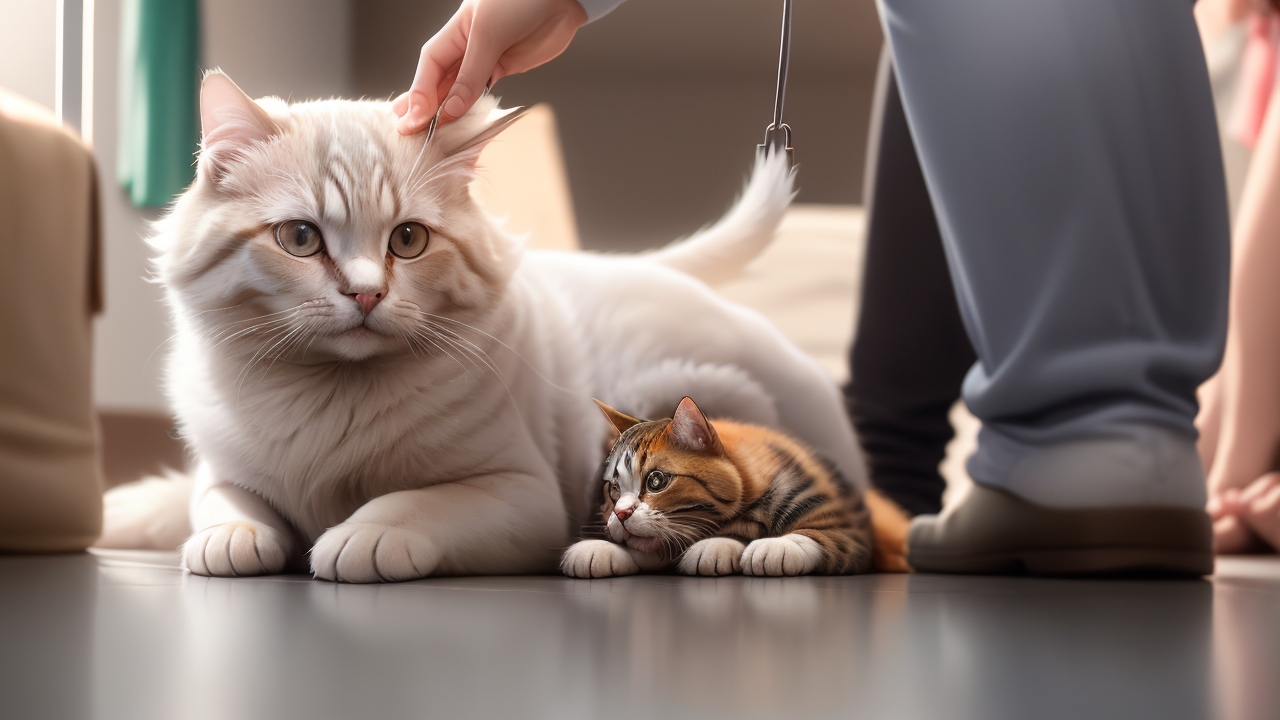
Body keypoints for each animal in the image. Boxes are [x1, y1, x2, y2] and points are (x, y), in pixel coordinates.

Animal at [563, 394, 875, 573]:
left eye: (656, 481)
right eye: (614, 488)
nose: (620, 514)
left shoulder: (853, 535)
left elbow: (817, 535)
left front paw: (772, 547)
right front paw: (597, 548)